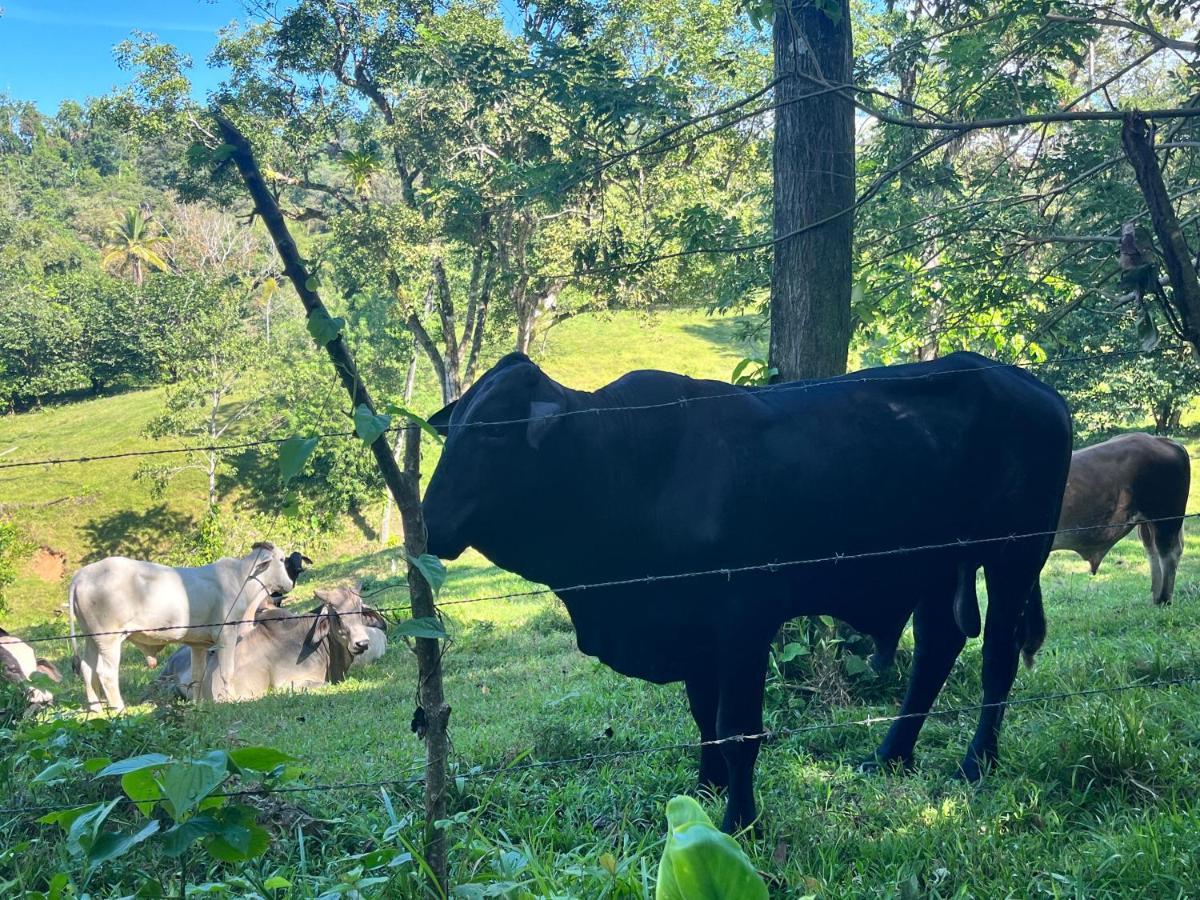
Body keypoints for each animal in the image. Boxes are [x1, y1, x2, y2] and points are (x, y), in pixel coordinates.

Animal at [68, 542, 297, 710]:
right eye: (281, 559)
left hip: (92, 638)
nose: (289, 584)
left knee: (87, 668)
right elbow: (227, 672)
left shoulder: (198, 645)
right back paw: (119, 710)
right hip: (109, 638)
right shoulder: (226, 634)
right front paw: (231, 700)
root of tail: (80, 576)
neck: (242, 579)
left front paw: (197, 703)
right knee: (106, 673)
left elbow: (197, 676)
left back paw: (96, 709)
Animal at [422, 350, 1070, 830]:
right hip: (936, 566)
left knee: (996, 659)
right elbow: (703, 719)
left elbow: (737, 728)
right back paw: (890, 755)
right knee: (937, 649)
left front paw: (740, 820)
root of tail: (1034, 387)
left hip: (1016, 554)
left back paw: (976, 764)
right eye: (453, 431)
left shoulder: (743, 620)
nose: (429, 519)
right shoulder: (691, 629)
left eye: (491, 436)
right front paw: (706, 792)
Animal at [1051, 432, 1190, 607]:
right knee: (1153, 550)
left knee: (1168, 552)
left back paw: (1164, 599)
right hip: (1147, 523)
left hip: (1165, 518)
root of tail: (1163, 440)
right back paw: (1156, 597)